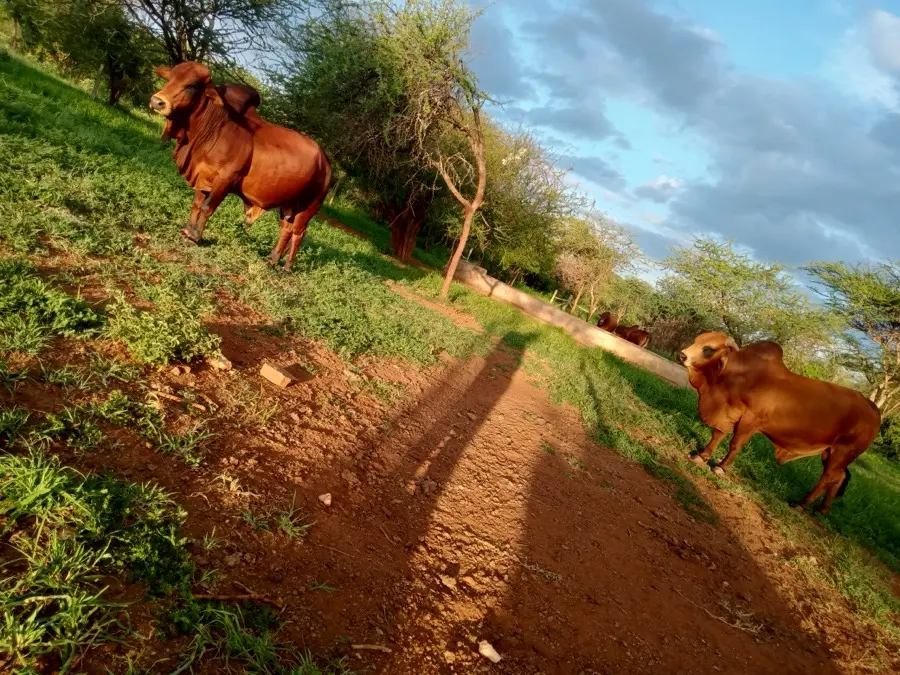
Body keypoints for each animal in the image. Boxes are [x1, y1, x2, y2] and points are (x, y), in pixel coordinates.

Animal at [149, 61, 331, 272]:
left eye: (192, 85)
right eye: (170, 78)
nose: (157, 101)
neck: (214, 125)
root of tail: (326, 163)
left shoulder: (225, 179)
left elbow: (207, 207)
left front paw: (195, 236)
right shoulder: (203, 176)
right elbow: (196, 204)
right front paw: (187, 229)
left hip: (309, 208)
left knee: (298, 233)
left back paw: (286, 267)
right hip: (289, 206)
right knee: (286, 229)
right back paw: (272, 259)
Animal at [679, 331, 881, 514]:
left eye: (709, 349)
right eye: (697, 340)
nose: (682, 355)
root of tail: (874, 410)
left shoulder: (751, 420)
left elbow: (735, 443)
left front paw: (721, 467)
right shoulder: (729, 414)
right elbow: (717, 435)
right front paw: (701, 455)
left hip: (842, 452)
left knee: (828, 477)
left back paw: (801, 504)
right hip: (830, 452)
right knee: (837, 478)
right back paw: (822, 509)